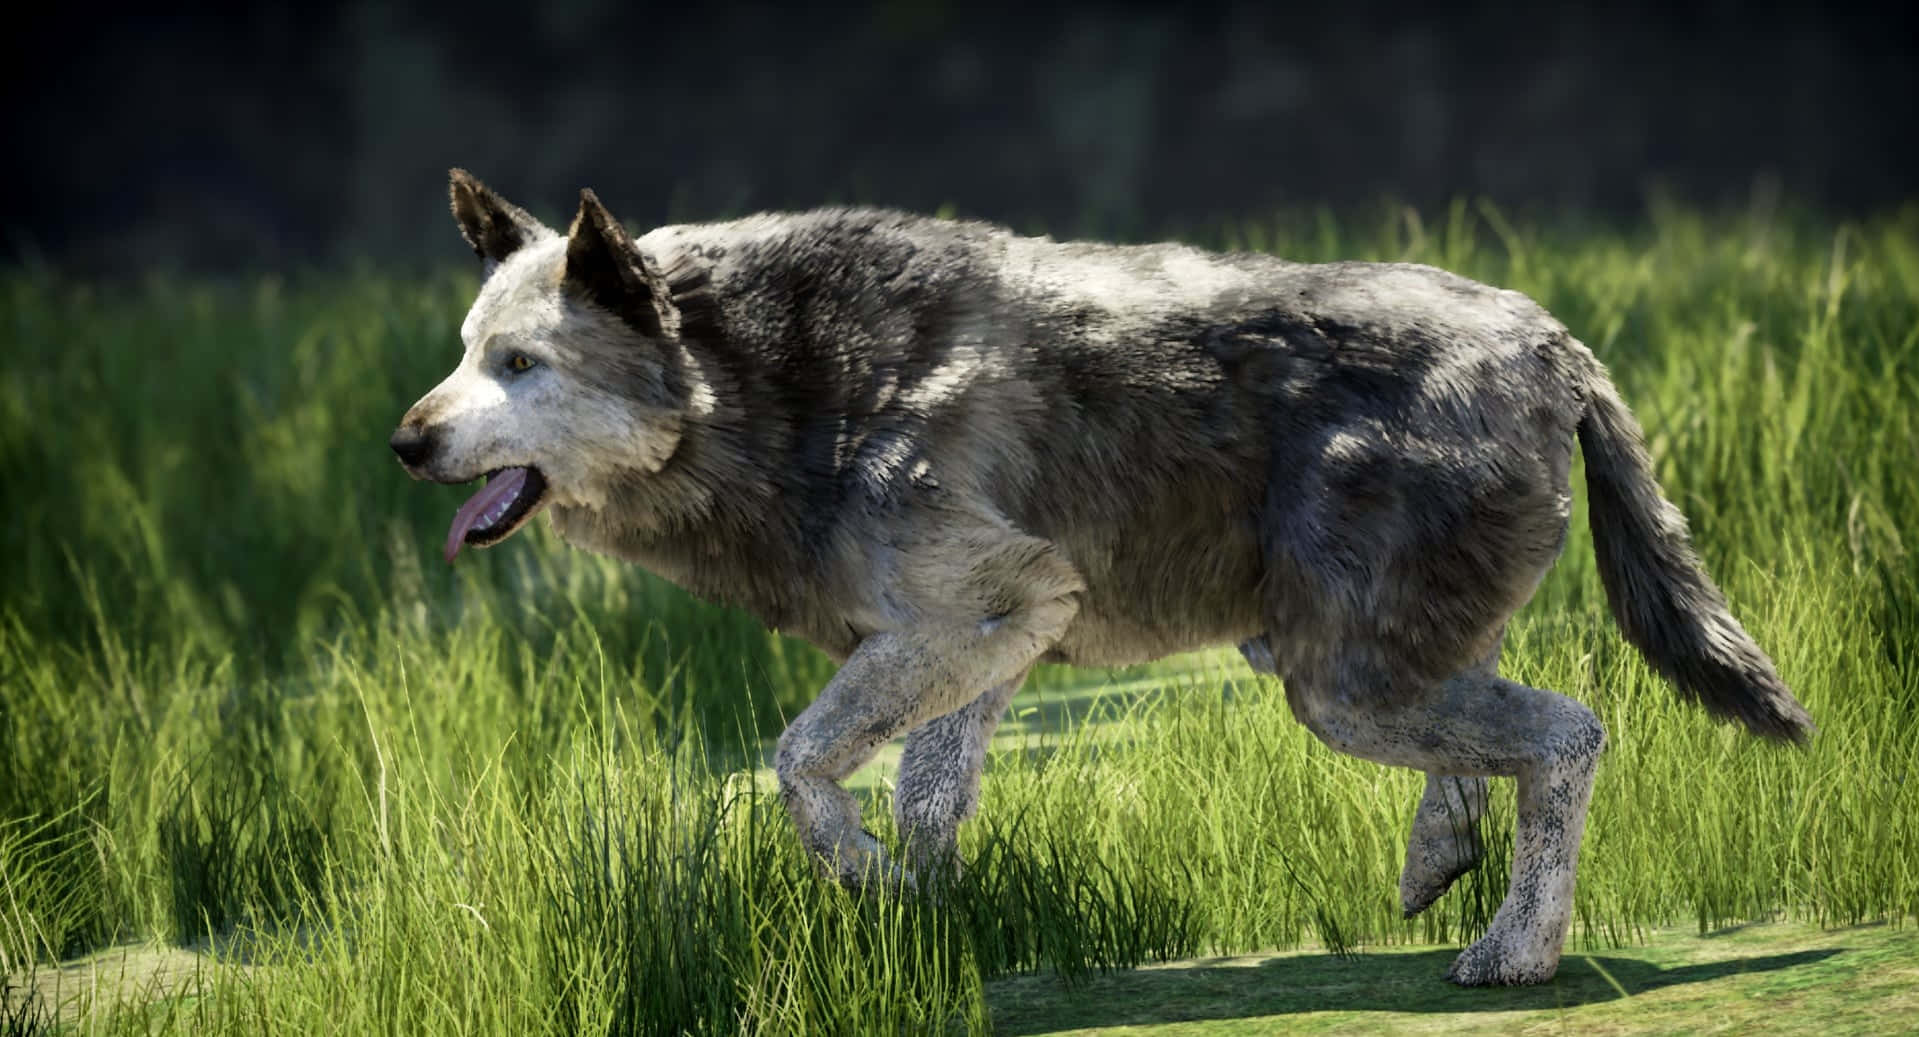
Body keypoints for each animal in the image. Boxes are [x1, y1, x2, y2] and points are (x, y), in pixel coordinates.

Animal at [391, 170, 1813, 985]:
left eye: (518, 364)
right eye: (459, 353)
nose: (404, 440)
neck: (780, 382)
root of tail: (1555, 338)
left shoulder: (982, 608)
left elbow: (798, 767)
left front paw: (870, 887)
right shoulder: (988, 639)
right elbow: (924, 799)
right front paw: (929, 924)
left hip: (1331, 686)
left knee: (1569, 733)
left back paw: (1514, 955)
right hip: (1344, 659)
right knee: (1491, 748)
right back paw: (1435, 868)